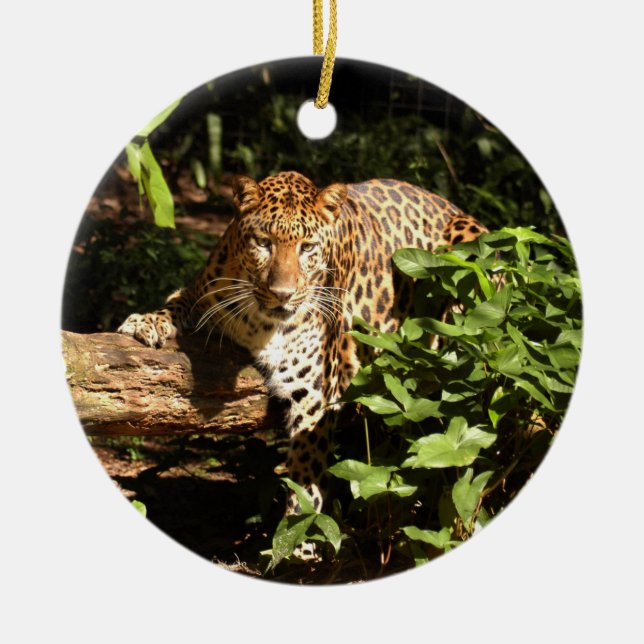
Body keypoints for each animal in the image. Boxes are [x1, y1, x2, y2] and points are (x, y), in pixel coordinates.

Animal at [118, 171, 486, 518]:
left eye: (307, 247)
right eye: (263, 243)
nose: (283, 294)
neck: (261, 323)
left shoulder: (316, 397)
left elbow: (306, 481)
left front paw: (299, 537)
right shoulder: (199, 290)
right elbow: (175, 303)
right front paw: (146, 321)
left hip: (468, 247)